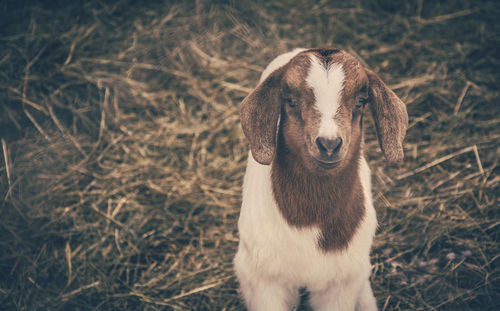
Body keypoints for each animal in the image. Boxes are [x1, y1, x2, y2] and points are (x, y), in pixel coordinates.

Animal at [232, 47, 408, 311]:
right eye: (290, 100)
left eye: (360, 101)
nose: (329, 144)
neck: (311, 222)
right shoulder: (264, 281)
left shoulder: (340, 284)